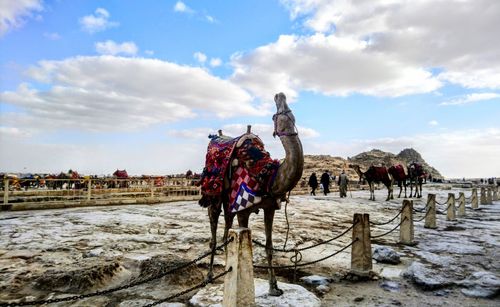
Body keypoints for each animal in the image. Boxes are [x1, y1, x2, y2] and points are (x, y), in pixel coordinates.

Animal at [198, 92, 300, 298]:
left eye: (292, 116)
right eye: (276, 116)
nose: (280, 95)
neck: (266, 175)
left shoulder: (270, 208)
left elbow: (269, 247)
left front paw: (274, 288)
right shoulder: (243, 210)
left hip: (229, 202)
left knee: (226, 227)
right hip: (213, 197)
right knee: (214, 230)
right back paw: (209, 277)